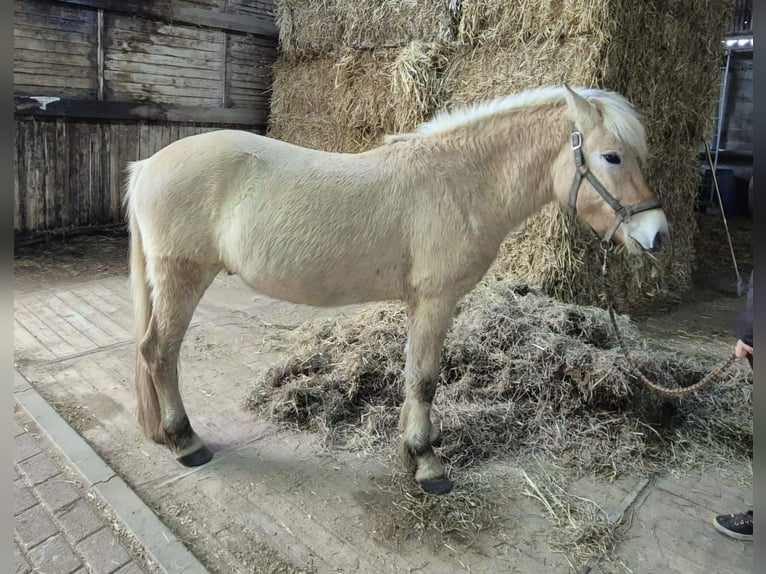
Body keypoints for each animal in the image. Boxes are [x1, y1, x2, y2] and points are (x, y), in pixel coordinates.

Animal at [127, 84, 672, 496]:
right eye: (611, 156)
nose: (657, 235)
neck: (459, 183)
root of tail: (145, 166)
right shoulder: (436, 300)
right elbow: (426, 379)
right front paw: (427, 462)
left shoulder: (420, 305)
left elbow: (413, 375)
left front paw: (414, 448)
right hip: (182, 278)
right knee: (159, 352)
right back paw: (185, 441)